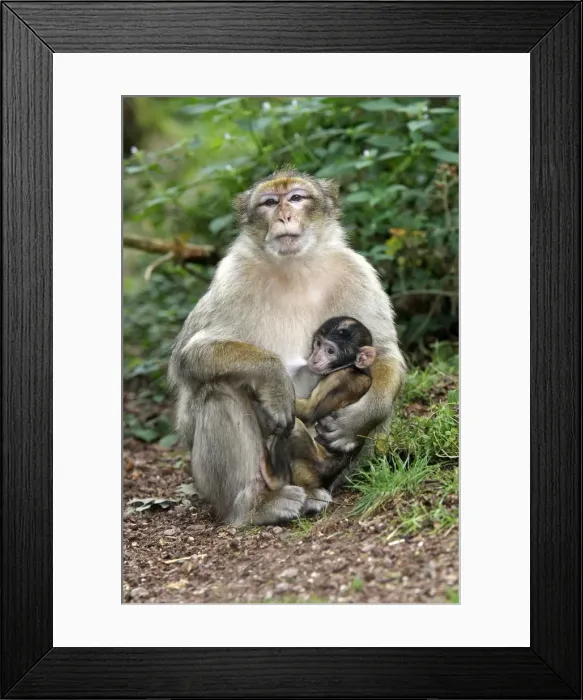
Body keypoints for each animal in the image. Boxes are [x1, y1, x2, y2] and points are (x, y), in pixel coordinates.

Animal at [261, 317, 377, 493]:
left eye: (330, 351)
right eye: (317, 344)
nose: (314, 358)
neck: (355, 369)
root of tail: (323, 481)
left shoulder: (338, 379)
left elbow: (310, 412)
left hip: (307, 470)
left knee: (295, 428)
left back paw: (274, 479)